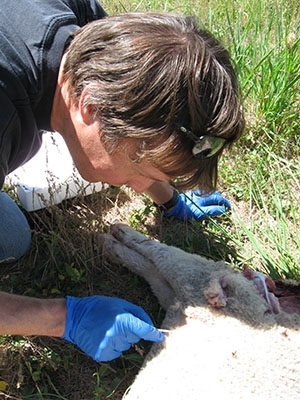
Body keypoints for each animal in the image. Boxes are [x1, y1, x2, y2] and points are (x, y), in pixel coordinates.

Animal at [99, 223, 300, 398]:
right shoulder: (183, 304)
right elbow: (152, 272)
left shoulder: (196, 286)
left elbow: (156, 255)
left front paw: (111, 240)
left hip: (206, 274)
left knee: (165, 253)